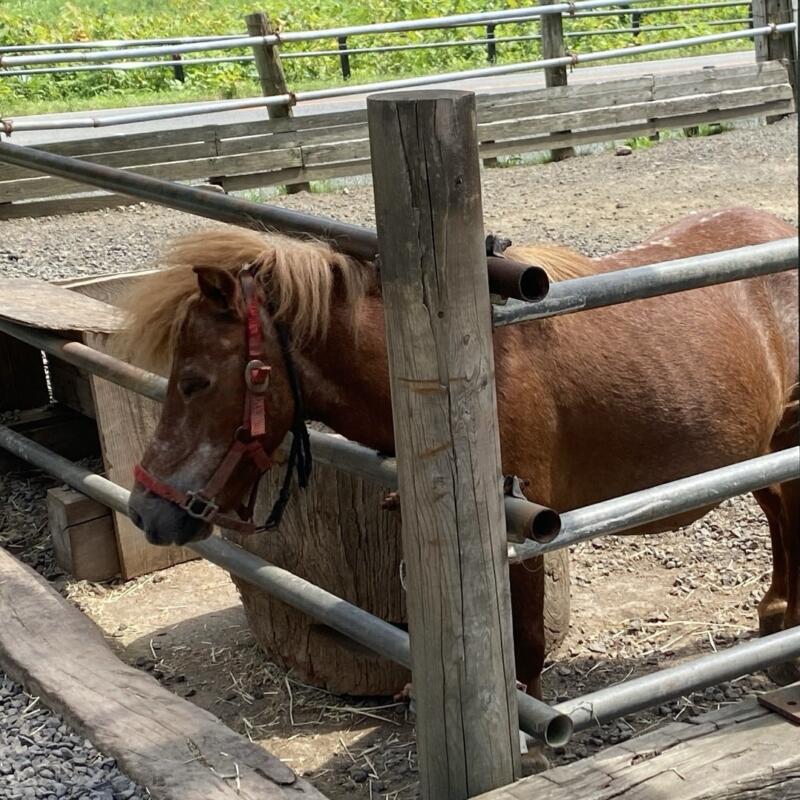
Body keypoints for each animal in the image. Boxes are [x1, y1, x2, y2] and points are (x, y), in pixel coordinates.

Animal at [125, 208, 800, 700]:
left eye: (195, 381)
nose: (144, 509)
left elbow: (523, 637)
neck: (454, 379)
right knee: (778, 515)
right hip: (763, 447)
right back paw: (776, 618)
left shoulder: (523, 529)